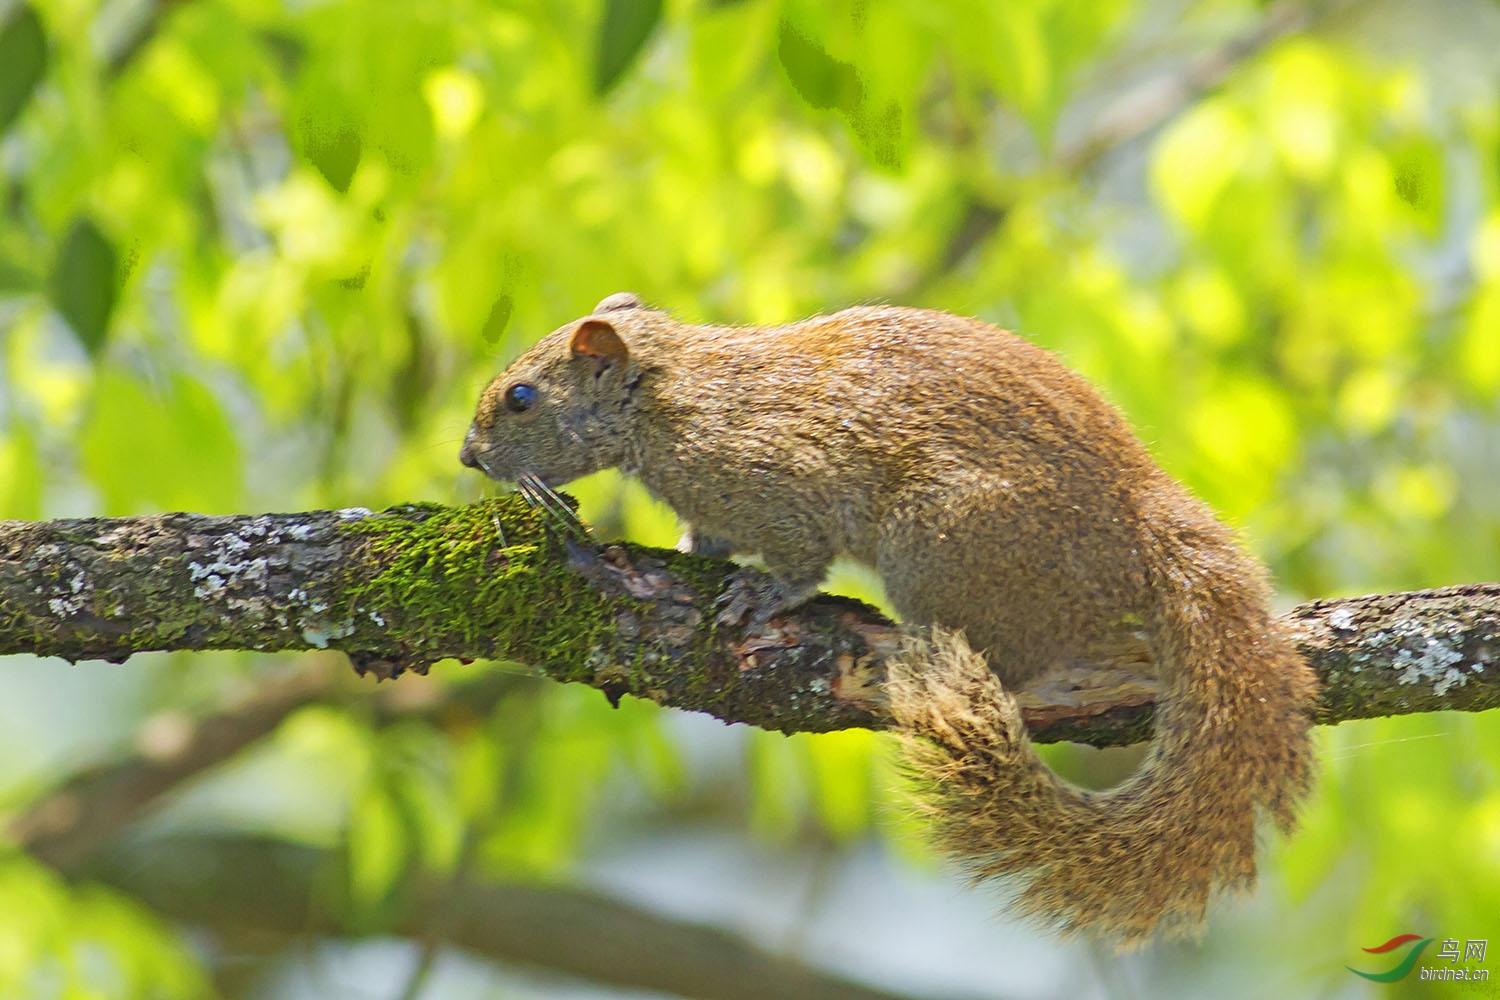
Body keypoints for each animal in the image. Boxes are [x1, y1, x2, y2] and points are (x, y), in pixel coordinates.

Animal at [456, 293, 1314, 953]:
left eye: (521, 397)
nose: (467, 457)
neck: (670, 391)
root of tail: (1143, 520)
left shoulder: (778, 481)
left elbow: (800, 563)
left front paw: (762, 597)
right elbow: (707, 540)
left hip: (943, 546)